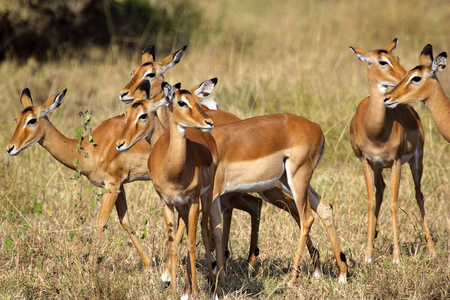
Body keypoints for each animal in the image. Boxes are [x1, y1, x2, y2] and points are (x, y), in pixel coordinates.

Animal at [115, 79, 222, 298]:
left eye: (143, 115)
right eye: (126, 114)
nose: (120, 144)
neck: (173, 170)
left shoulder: (192, 202)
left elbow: (190, 242)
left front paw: (192, 291)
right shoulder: (170, 203)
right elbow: (175, 243)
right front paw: (176, 290)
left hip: (206, 198)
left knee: (204, 232)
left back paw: (213, 289)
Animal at [350, 39, 434, 262]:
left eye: (397, 57)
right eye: (382, 61)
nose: (404, 78)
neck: (375, 131)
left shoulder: (396, 162)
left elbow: (394, 204)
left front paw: (396, 257)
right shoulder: (367, 161)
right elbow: (371, 202)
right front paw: (367, 255)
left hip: (416, 161)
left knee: (419, 194)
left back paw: (431, 249)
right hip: (379, 167)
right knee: (380, 192)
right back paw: (374, 237)